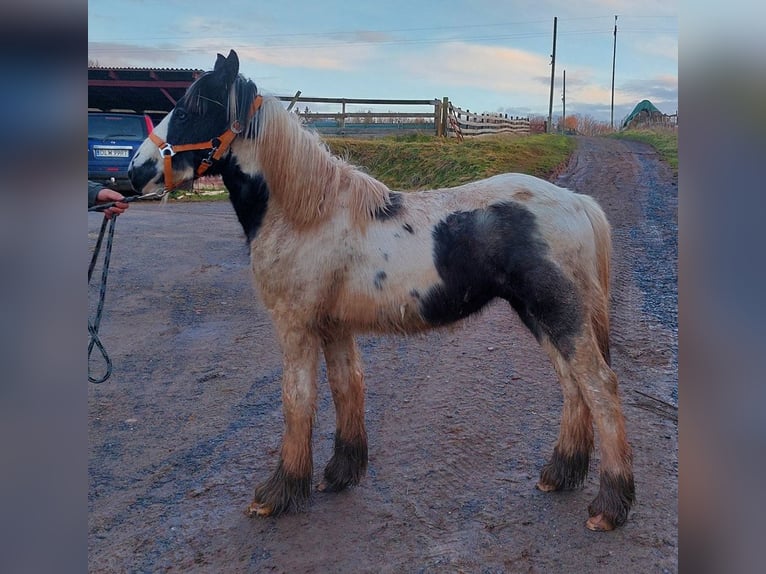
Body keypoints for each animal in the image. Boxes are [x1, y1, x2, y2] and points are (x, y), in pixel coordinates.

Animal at [130, 50, 636, 536]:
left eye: (191, 108)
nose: (135, 173)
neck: (307, 213)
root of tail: (578, 204)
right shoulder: (332, 326)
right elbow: (346, 387)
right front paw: (341, 473)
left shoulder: (295, 326)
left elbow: (297, 399)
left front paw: (279, 493)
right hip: (539, 315)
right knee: (574, 387)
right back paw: (561, 473)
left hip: (559, 314)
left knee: (600, 387)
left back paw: (609, 506)